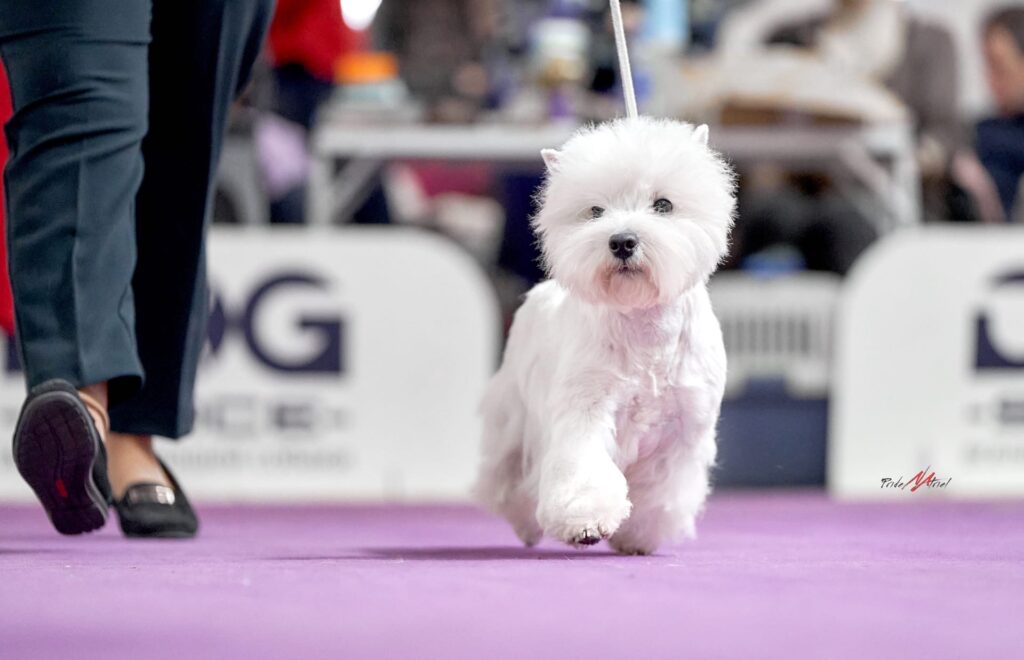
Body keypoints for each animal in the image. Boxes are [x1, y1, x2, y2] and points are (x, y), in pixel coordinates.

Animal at [475, 115, 733, 552]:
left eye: (663, 205)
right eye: (595, 211)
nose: (622, 241)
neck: (646, 327)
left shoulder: (682, 429)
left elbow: (660, 489)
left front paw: (638, 534)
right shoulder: (585, 410)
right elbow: (585, 469)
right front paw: (586, 522)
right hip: (513, 417)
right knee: (508, 478)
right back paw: (526, 527)